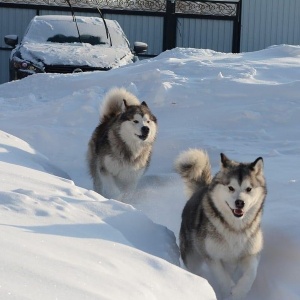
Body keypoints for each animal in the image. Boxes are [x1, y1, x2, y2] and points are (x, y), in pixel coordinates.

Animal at [176, 150, 268, 300]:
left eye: (248, 189)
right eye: (231, 188)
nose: (239, 203)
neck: (235, 228)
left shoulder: (251, 253)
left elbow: (250, 274)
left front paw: (239, 292)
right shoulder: (211, 255)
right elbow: (222, 277)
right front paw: (228, 289)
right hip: (191, 256)